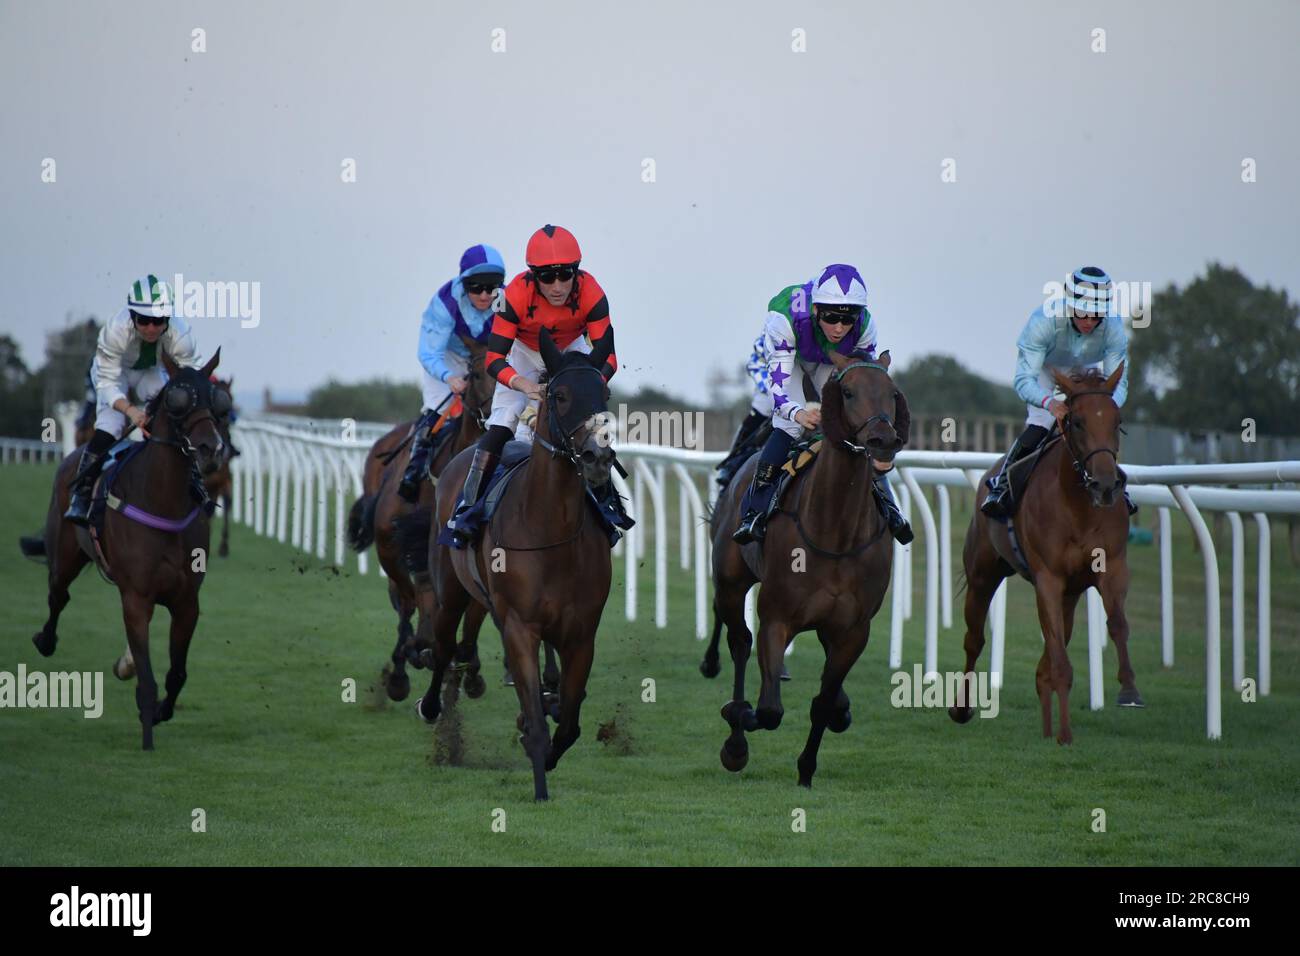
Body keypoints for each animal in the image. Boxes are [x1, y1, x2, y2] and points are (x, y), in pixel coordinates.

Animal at [28, 348, 226, 749]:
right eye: (178, 400)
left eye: (218, 401)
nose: (211, 448)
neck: (163, 502)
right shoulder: (137, 596)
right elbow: (148, 677)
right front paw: (148, 725)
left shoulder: (187, 601)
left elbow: (177, 673)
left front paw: (160, 709)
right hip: (65, 557)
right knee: (58, 596)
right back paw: (46, 639)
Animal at [418, 329, 616, 801]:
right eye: (560, 396)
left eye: (604, 394)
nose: (597, 457)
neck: (550, 527)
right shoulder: (520, 627)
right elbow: (540, 718)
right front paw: (540, 782)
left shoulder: (582, 634)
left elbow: (569, 723)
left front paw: (543, 735)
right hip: (451, 590)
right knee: (444, 646)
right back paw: (432, 705)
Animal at [712, 348, 904, 785]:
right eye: (848, 392)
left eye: (892, 392)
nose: (882, 440)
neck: (836, 532)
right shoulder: (777, 618)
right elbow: (768, 710)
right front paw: (739, 719)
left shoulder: (854, 629)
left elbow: (823, 702)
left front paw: (806, 769)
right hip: (730, 582)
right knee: (739, 642)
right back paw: (735, 738)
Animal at [951, 361, 1144, 743]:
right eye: (1077, 421)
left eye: (1117, 421)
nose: (1105, 485)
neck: (1079, 507)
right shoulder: (1049, 579)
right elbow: (1059, 659)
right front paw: (1066, 734)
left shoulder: (1111, 567)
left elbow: (1116, 624)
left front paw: (1128, 689)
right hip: (983, 575)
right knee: (974, 640)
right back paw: (962, 708)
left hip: (1069, 593)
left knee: (1051, 654)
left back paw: (1045, 724)